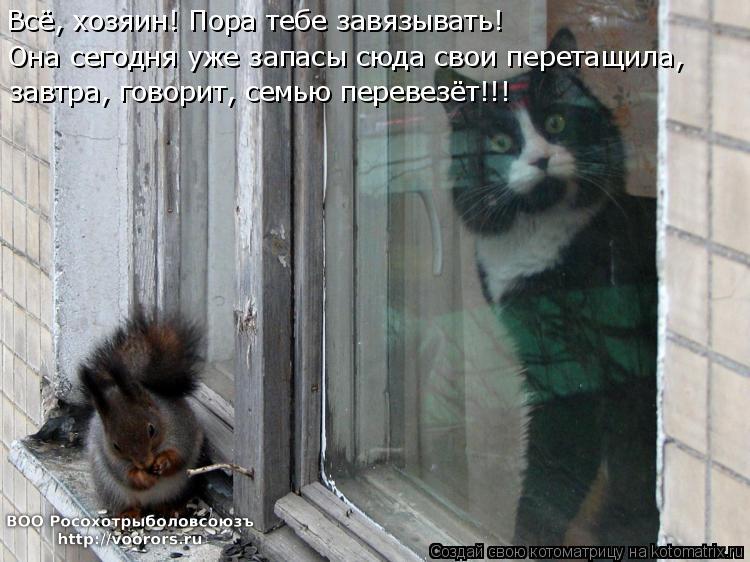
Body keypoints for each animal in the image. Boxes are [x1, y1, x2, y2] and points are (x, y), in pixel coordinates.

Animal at [79, 314, 205, 519]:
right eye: (115, 445)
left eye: (151, 429)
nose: (145, 463)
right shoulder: (110, 455)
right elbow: (126, 474)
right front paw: (143, 477)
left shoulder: (180, 427)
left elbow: (179, 454)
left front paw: (164, 462)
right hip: (110, 488)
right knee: (127, 503)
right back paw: (128, 515)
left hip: (181, 486)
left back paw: (171, 508)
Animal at [437, 28, 658, 550]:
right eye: (499, 140)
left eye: (556, 122)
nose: (540, 158)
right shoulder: (546, 361)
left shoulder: (601, 369)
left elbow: (582, 471)